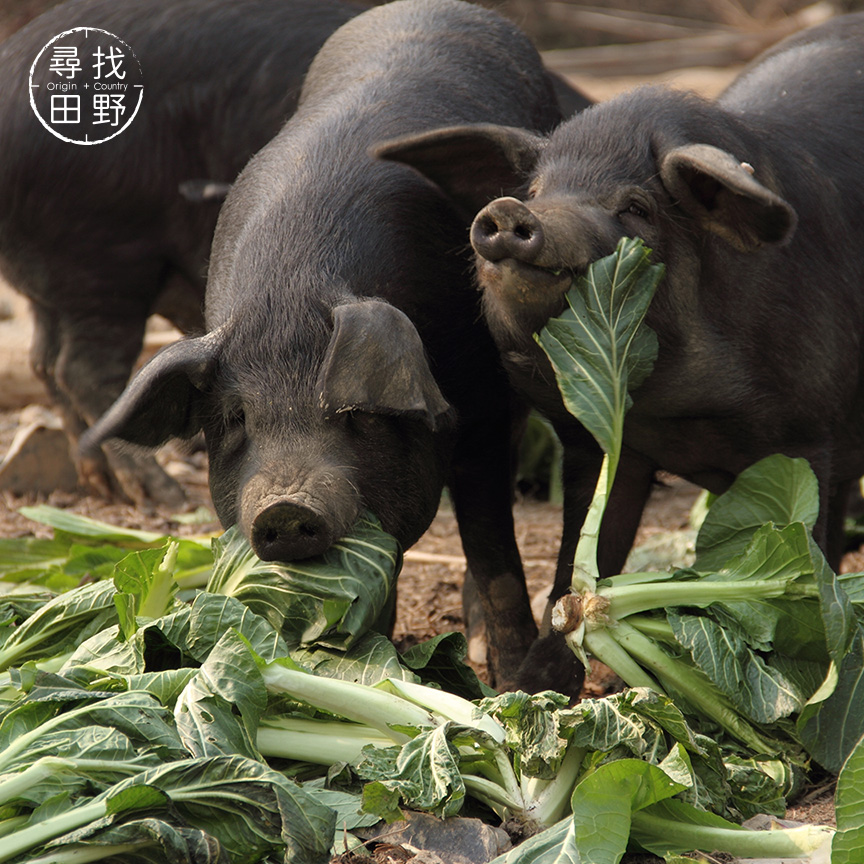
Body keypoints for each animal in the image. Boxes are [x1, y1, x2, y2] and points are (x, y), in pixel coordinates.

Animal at [0, 0, 366, 506]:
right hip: (104, 261)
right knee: (79, 371)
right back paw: (165, 496)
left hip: (59, 283)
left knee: (42, 362)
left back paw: (104, 486)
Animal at [82, 0, 588, 692]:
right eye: (235, 418)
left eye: (358, 415)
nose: (283, 505)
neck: (291, 292)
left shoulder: (480, 401)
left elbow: (491, 547)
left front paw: (511, 688)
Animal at [382, 11, 864, 688]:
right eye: (538, 188)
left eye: (636, 206)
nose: (508, 211)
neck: (679, 416)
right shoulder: (600, 443)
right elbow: (580, 559)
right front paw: (523, 693)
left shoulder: (803, 438)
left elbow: (807, 555)